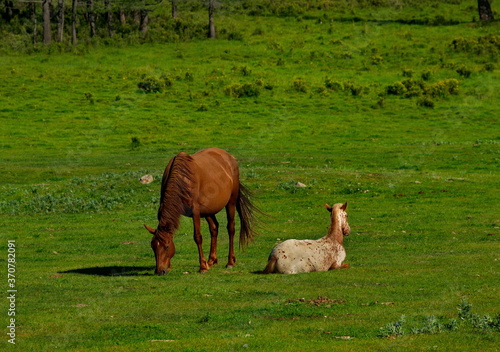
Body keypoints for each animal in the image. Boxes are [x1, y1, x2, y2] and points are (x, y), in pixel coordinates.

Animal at [144, 148, 254, 276]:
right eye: (153, 247)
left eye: (166, 247)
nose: (159, 271)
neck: (182, 179)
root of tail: (229, 157)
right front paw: (170, 266)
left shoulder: (195, 212)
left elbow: (197, 237)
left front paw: (202, 267)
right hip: (208, 210)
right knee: (214, 228)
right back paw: (211, 261)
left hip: (231, 202)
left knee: (231, 228)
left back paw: (230, 262)